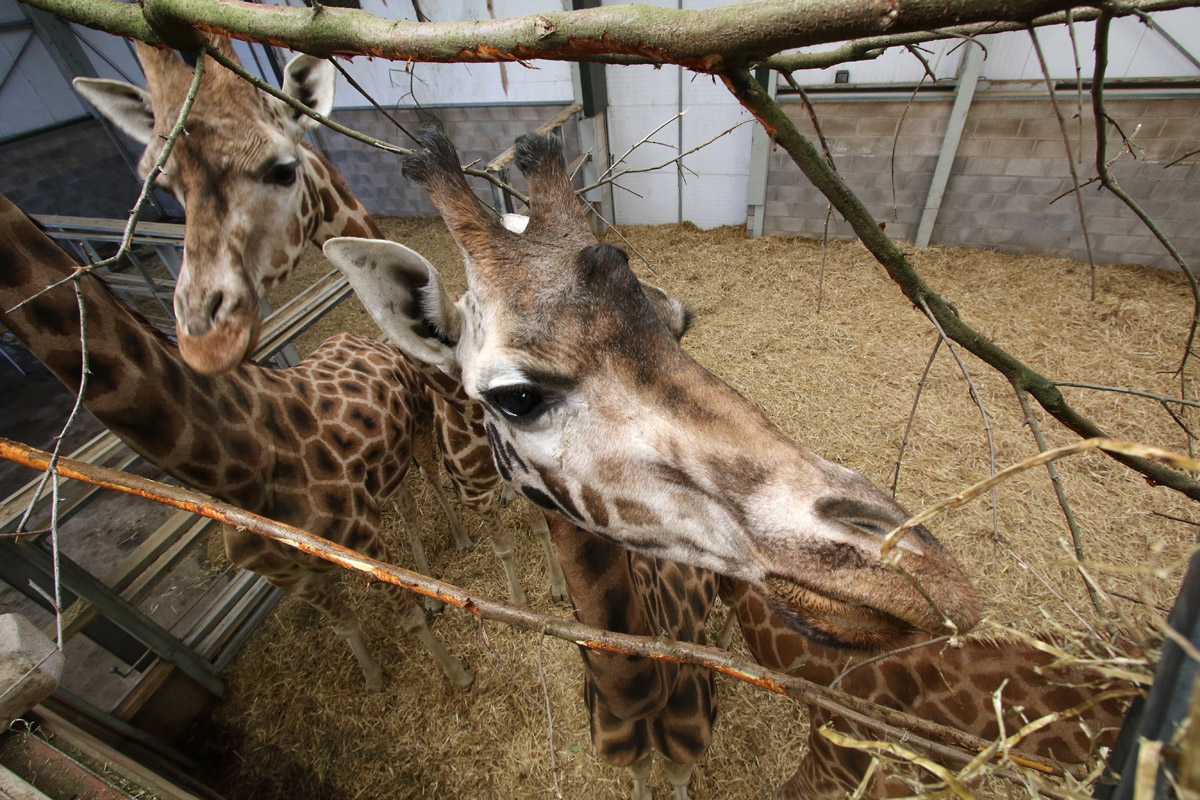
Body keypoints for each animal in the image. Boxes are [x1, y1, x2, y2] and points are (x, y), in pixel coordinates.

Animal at [0, 191, 472, 690]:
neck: (240, 473)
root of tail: (370, 340)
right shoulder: (288, 576)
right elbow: (344, 624)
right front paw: (374, 678)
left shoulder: (359, 541)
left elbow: (408, 618)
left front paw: (457, 674)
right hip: (386, 470)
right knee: (405, 510)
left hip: (416, 433)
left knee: (429, 489)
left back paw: (454, 555)